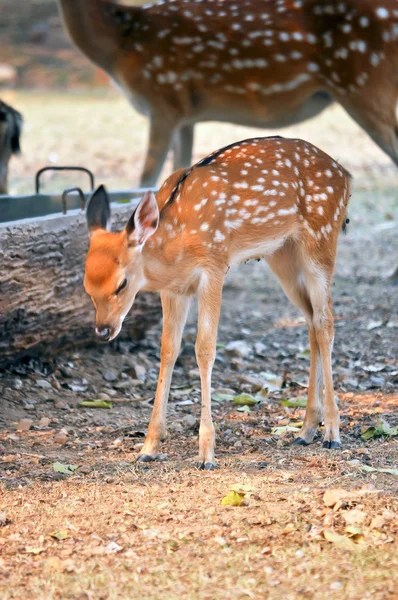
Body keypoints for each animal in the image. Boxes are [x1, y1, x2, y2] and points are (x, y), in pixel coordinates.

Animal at [84, 136, 352, 468]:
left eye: (121, 284)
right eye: (85, 285)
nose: (103, 330)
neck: (174, 244)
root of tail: (345, 175)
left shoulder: (214, 265)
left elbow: (204, 348)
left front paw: (206, 453)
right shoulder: (174, 289)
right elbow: (168, 349)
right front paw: (149, 446)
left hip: (322, 239)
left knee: (326, 323)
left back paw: (332, 433)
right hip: (283, 255)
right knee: (312, 321)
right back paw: (305, 430)